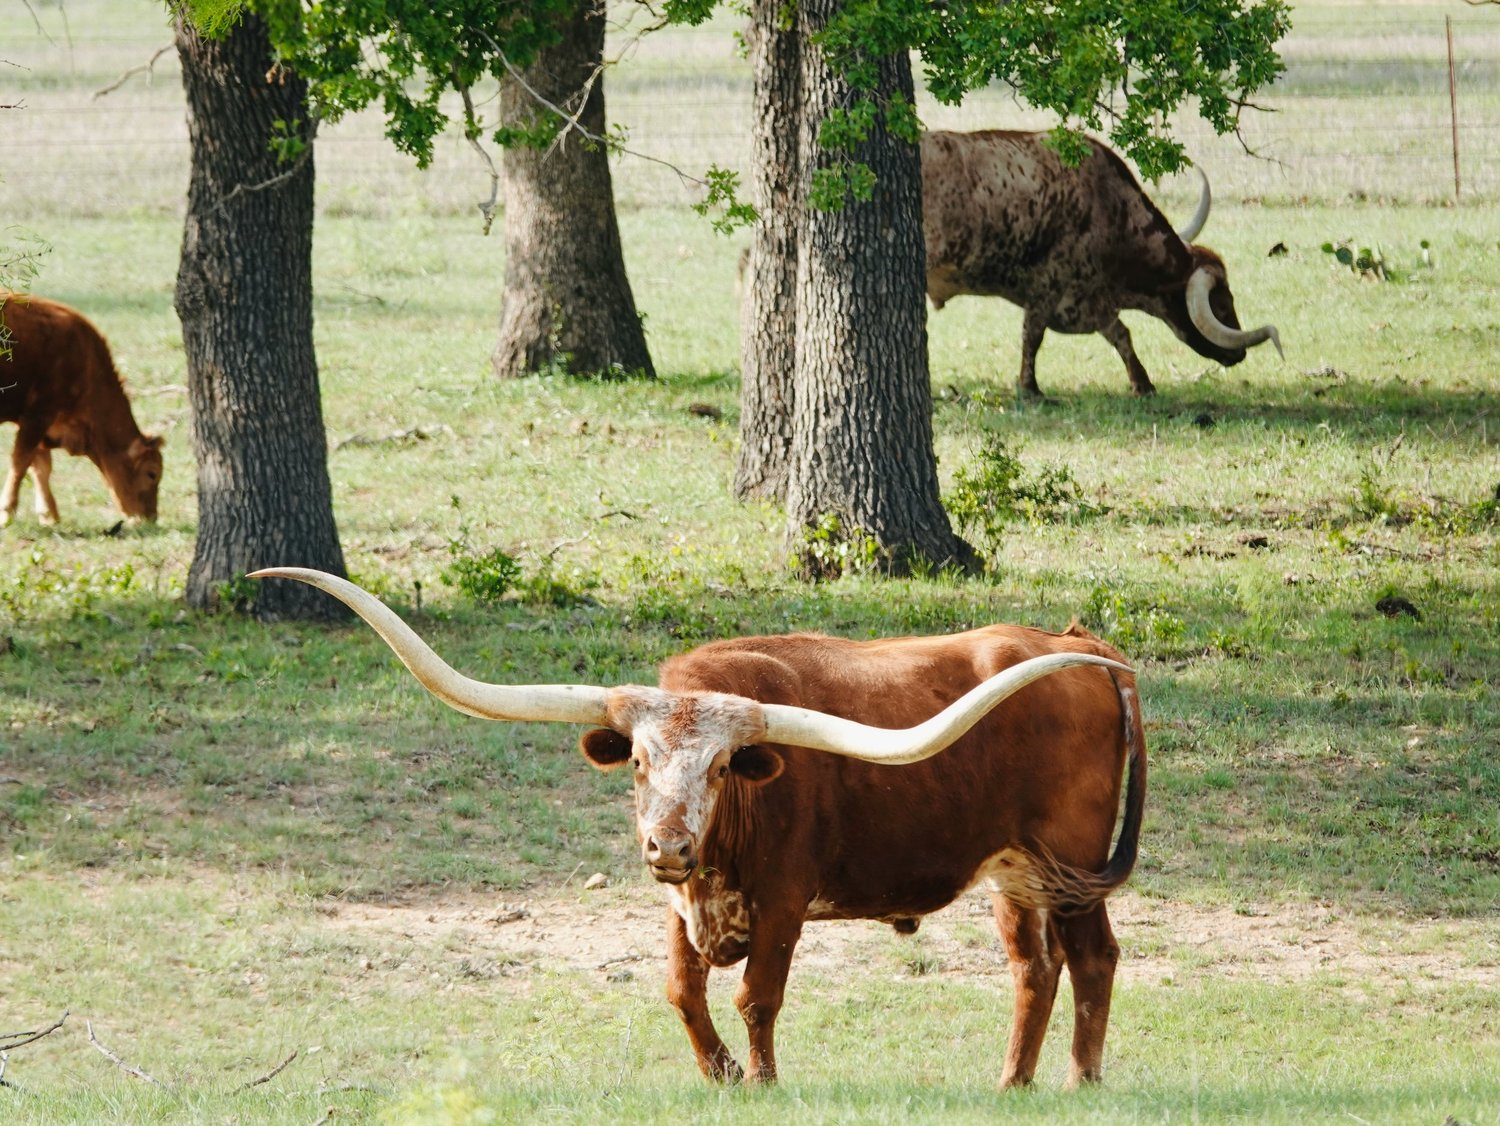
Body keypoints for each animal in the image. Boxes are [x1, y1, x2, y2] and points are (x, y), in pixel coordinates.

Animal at [0, 293, 163, 526]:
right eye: (152, 473)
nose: (151, 517)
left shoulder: (37, 423)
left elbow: (40, 466)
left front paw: (49, 515)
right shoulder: (38, 416)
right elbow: (20, 463)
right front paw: (7, 513)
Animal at [251, 567, 1149, 1090]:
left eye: (721, 768)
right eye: (639, 763)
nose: (670, 845)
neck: (719, 851)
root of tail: (1081, 647)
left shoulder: (783, 899)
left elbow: (758, 994)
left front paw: (762, 1082)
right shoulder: (678, 902)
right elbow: (682, 990)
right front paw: (717, 1074)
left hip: (1071, 862)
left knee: (1093, 958)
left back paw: (1083, 1083)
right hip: (1013, 870)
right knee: (1035, 968)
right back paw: (1012, 1086)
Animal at [921, 129, 1281, 398]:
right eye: (1220, 305)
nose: (1239, 353)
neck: (1108, 207)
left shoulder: (1088, 300)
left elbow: (1118, 334)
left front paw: (1141, 383)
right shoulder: (1050, 290)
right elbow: (1036, 337)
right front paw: (1030, 388)